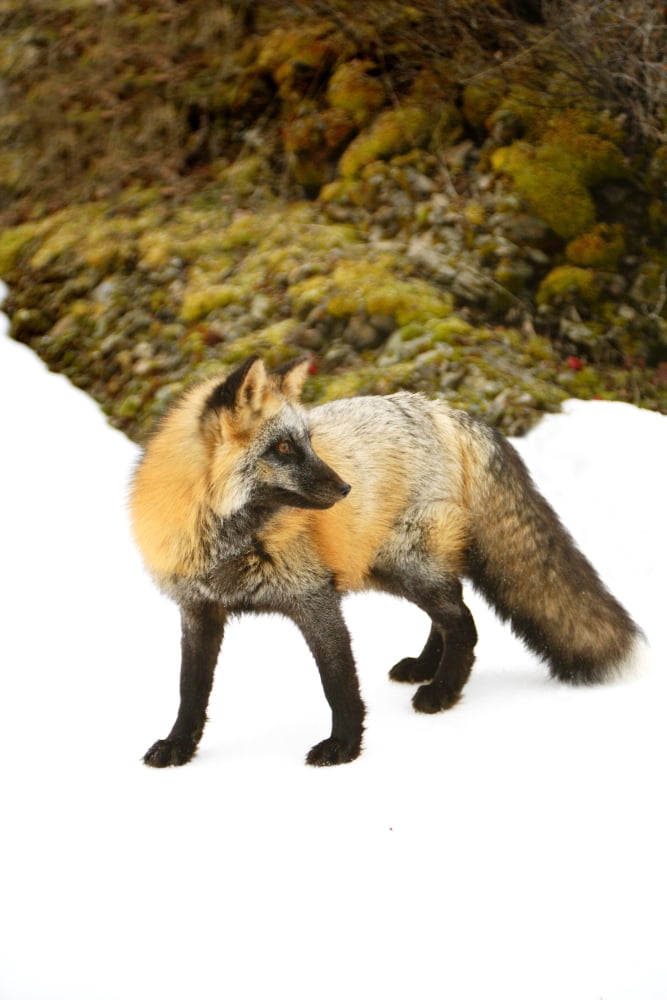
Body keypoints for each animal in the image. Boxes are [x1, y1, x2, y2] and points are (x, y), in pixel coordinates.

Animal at [130, 354, 643, 768]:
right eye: (283, 448)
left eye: (309, 442)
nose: (345, 489)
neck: (228, 543)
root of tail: (447, 411)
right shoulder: (198, 611)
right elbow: (190, 691)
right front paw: (179, 747)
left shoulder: (315, 599)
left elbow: (339, 684)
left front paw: (344, 747)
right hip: (393, 567)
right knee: (454, 611)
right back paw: (426, 667)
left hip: (405, 565)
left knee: (464, 623)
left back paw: (442, 691)